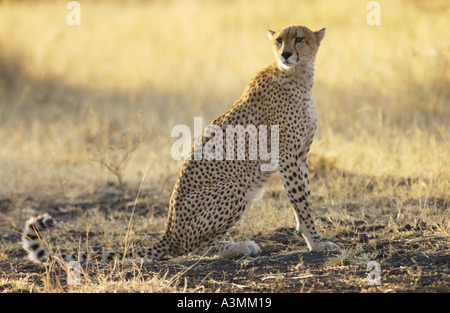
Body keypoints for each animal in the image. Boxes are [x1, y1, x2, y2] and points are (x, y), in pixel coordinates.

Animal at [22, 25, 338, 264]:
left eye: (299, 38)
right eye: (278, 40)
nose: (285, 54)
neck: (299, 76)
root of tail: (168, 232)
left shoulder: (300, 156)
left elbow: (303, 200)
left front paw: (310, 237)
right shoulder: (288, 157)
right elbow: (302, 201)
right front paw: (317, 242)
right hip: (233, 189)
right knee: (192, 249)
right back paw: (239, 247)